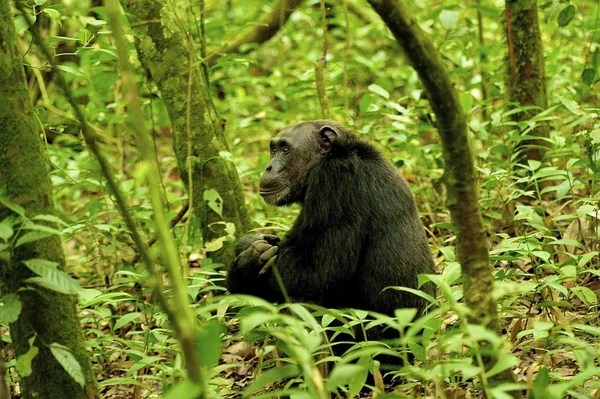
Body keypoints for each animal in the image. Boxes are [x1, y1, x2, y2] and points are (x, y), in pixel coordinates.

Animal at [227, 120, 434, 320]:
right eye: (273, 149)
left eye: (285, 150)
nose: (268, 167)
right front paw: (250, 244)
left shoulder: (335, 182)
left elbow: (318, 273)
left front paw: (246, 267)